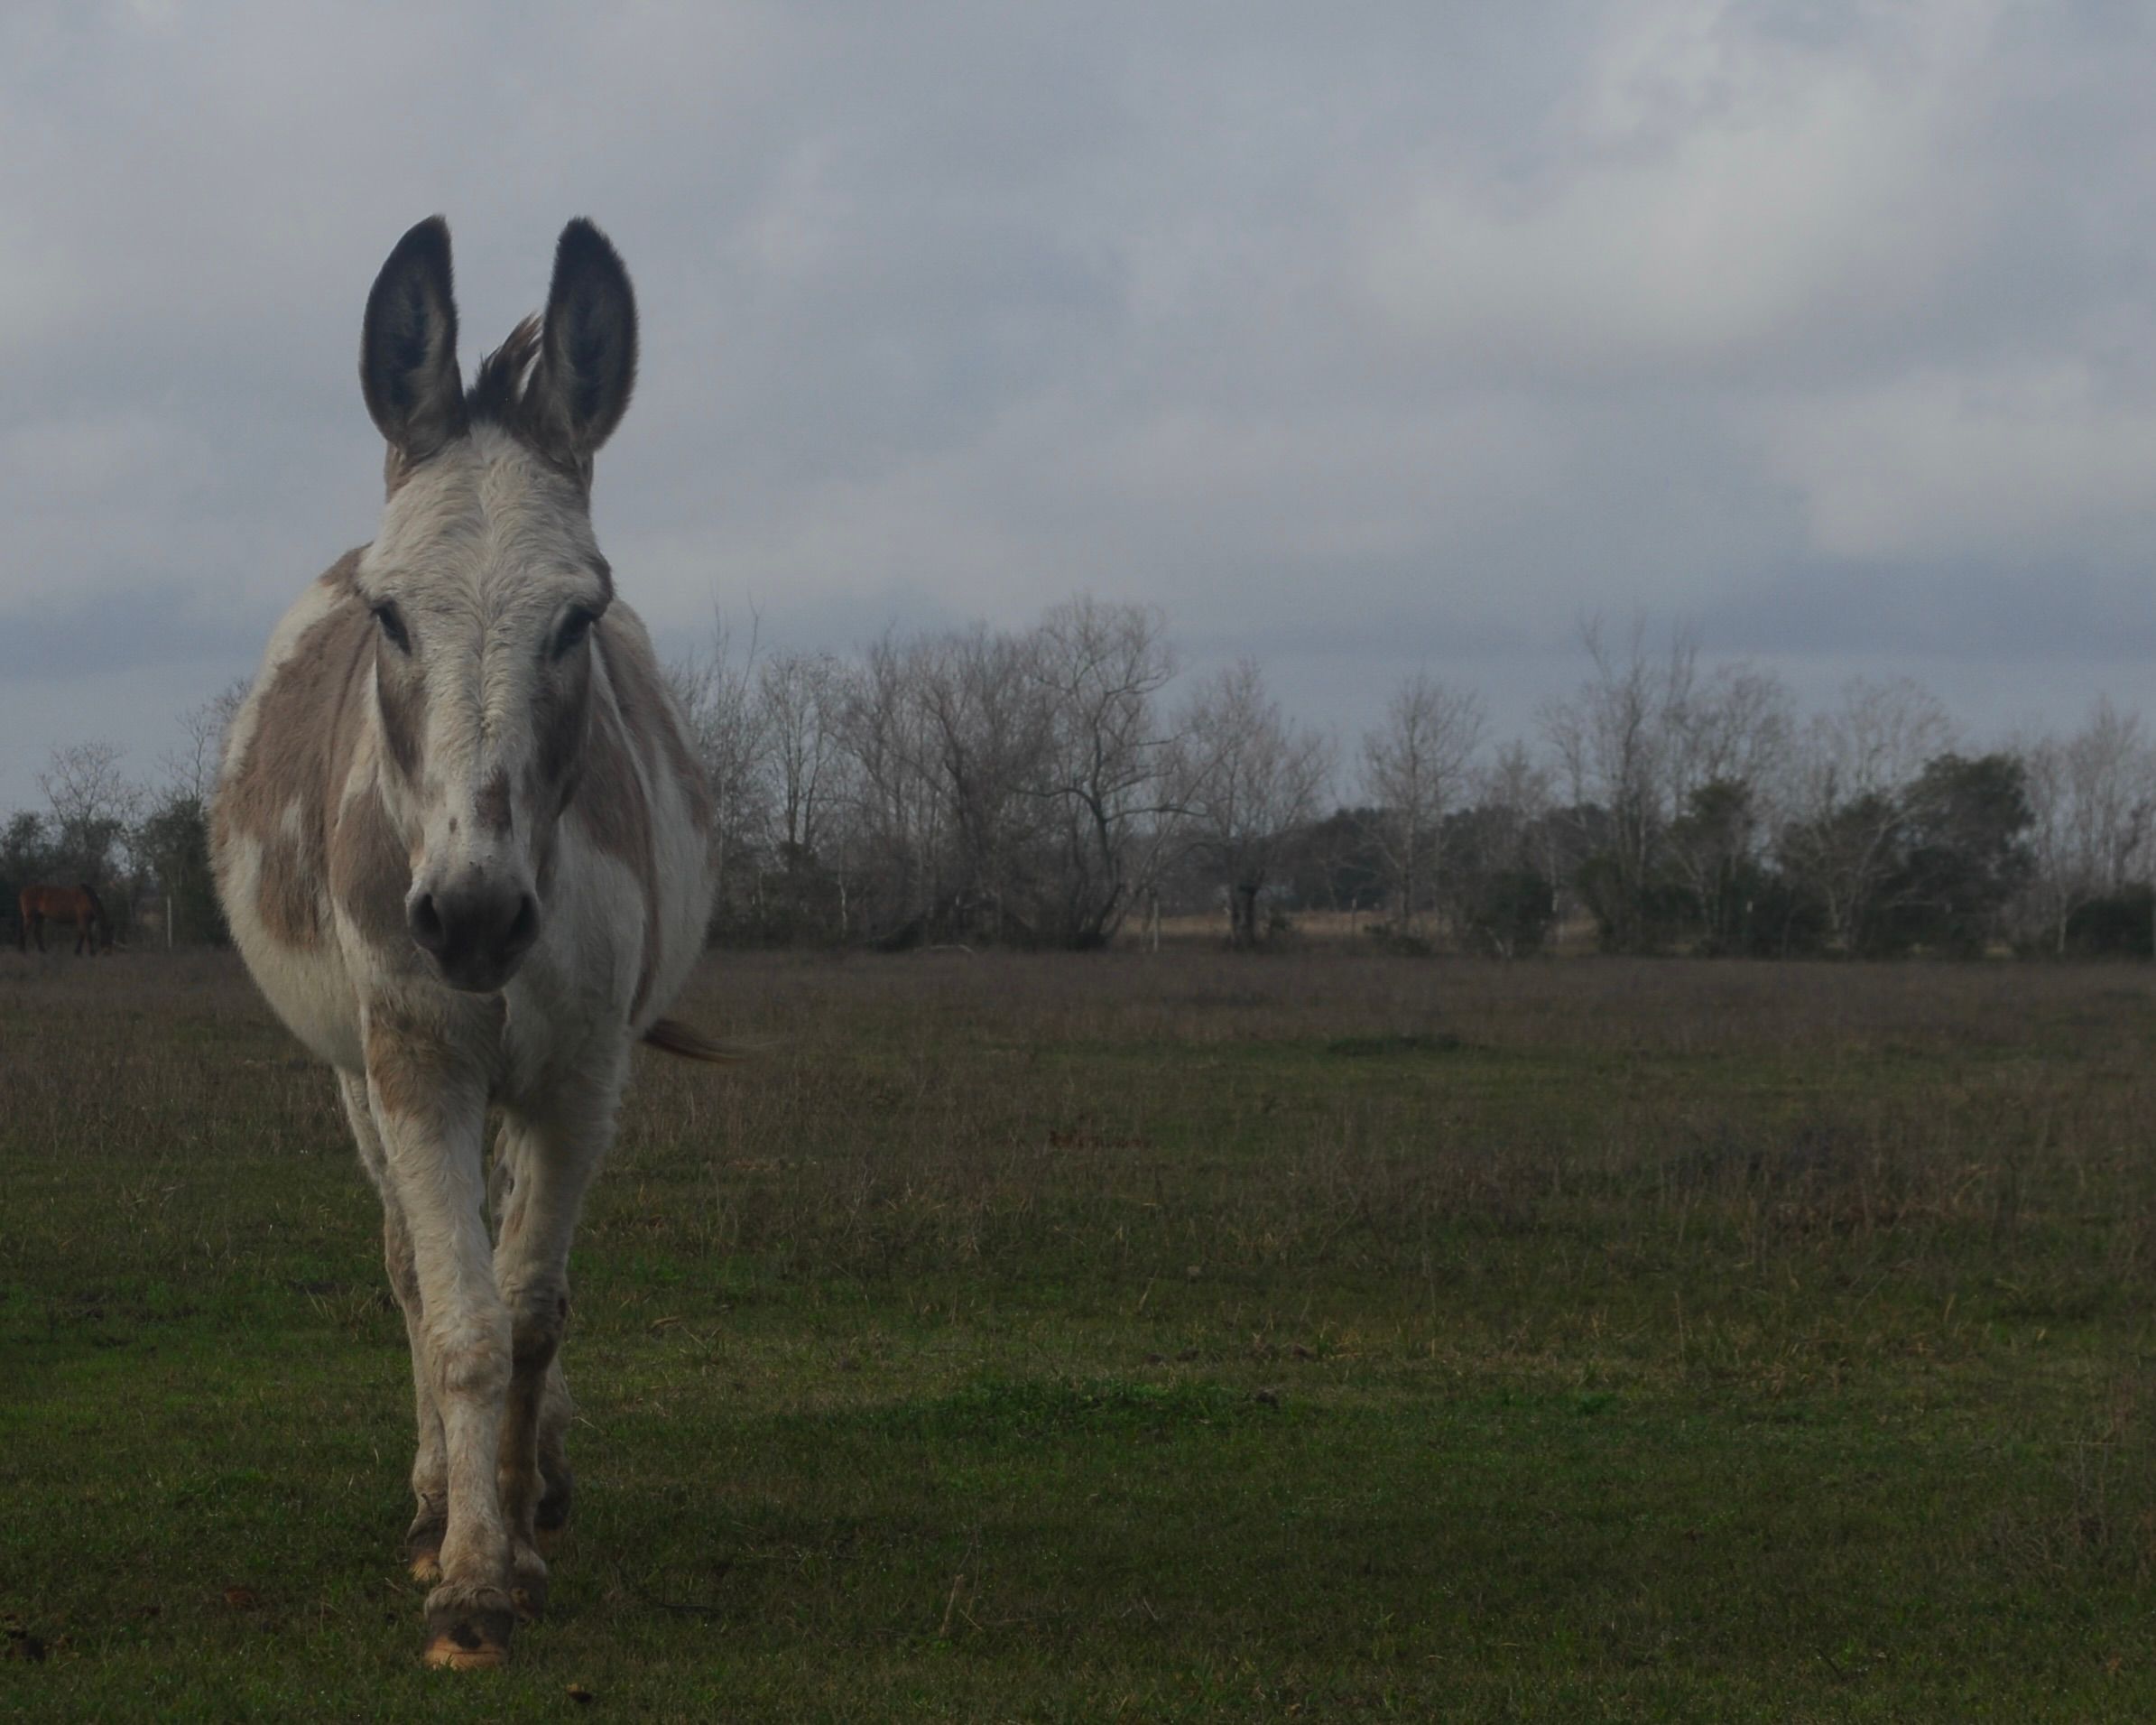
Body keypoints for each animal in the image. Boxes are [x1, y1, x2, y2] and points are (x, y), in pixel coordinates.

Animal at [211, 216, 725, 1670]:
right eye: (389, 616)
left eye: (579, 615)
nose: (476, 917)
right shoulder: (418, 1056)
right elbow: (458, 1321)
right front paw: (471, 1577)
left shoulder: (581, 1076)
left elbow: (531, 1309)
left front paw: (521, 1522)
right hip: (355, 1074)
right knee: (407, 1264)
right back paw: (437, 1495)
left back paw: (524, 1477)